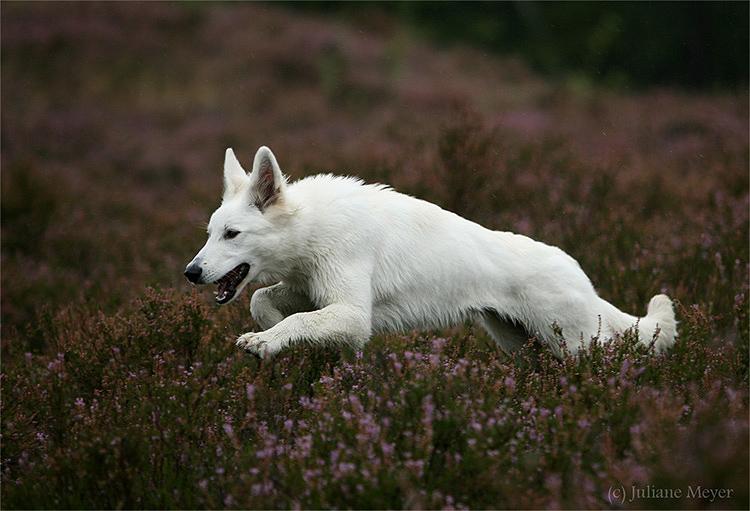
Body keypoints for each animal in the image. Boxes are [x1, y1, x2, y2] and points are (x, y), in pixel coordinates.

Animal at [185, 145, 680, 360]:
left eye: (232, 234)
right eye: (210, 233)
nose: (191, 272)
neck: (314, 227)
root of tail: (579, 273)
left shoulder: (353, 314)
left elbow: (296, 320)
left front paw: (265, 342)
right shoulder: (312, 290)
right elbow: (262, 300)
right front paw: (273, 336)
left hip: (576, 343)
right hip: (523, 345)